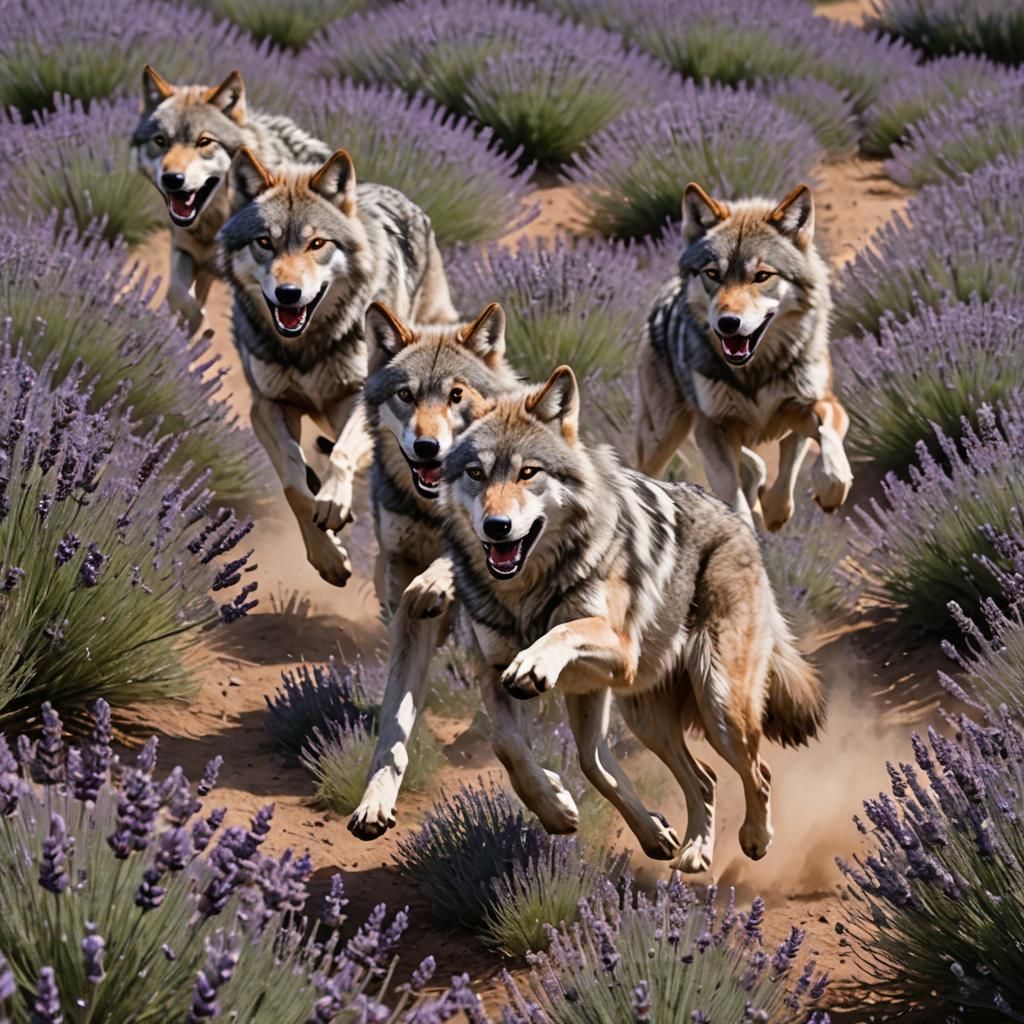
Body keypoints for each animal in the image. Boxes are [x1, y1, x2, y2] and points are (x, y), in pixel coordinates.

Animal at [131, 64, 330, 334]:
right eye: (160, 141)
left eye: (204, 141)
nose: (172, 179)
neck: (213, 226)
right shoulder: (184, 252)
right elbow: (179, 295)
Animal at [218, 148, 458, 585]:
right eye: (264, 243)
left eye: (317, 244)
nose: (289, 293)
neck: (308, 345)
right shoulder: (267, 405)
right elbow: (294, 485)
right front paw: (327, 555)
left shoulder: (362, 399)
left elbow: (341, 455)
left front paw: (332, 500)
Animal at [347, 304, 580, 841]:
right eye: (406, 395)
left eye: (456, 395)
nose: (427, 447)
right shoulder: (405, 608)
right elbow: (394, 719)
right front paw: (374, 802)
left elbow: (510, 742)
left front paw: (556, 803)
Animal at [441, 365, 826, 872]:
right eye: (476, 474)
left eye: (528, 472)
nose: (496, 527)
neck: (526, 593)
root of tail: (738, 521)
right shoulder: (507, 674)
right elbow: (510, 749)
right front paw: (556, 809)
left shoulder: (617, 653)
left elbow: (564, 630)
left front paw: (536, 661)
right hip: (643, 713)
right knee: (699, 777)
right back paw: (684, 847)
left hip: (718, 703)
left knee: (756, 771)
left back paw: (754, 839)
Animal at [634, 182, 852, 531]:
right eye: (713, 274)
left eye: (761, 276)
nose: (727, 323)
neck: (756, 371)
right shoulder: (715, 428)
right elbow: (735, 501)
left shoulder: (811, 404)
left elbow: (822, 443)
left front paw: (823, 490)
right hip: (664, 436)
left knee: (762, 465)